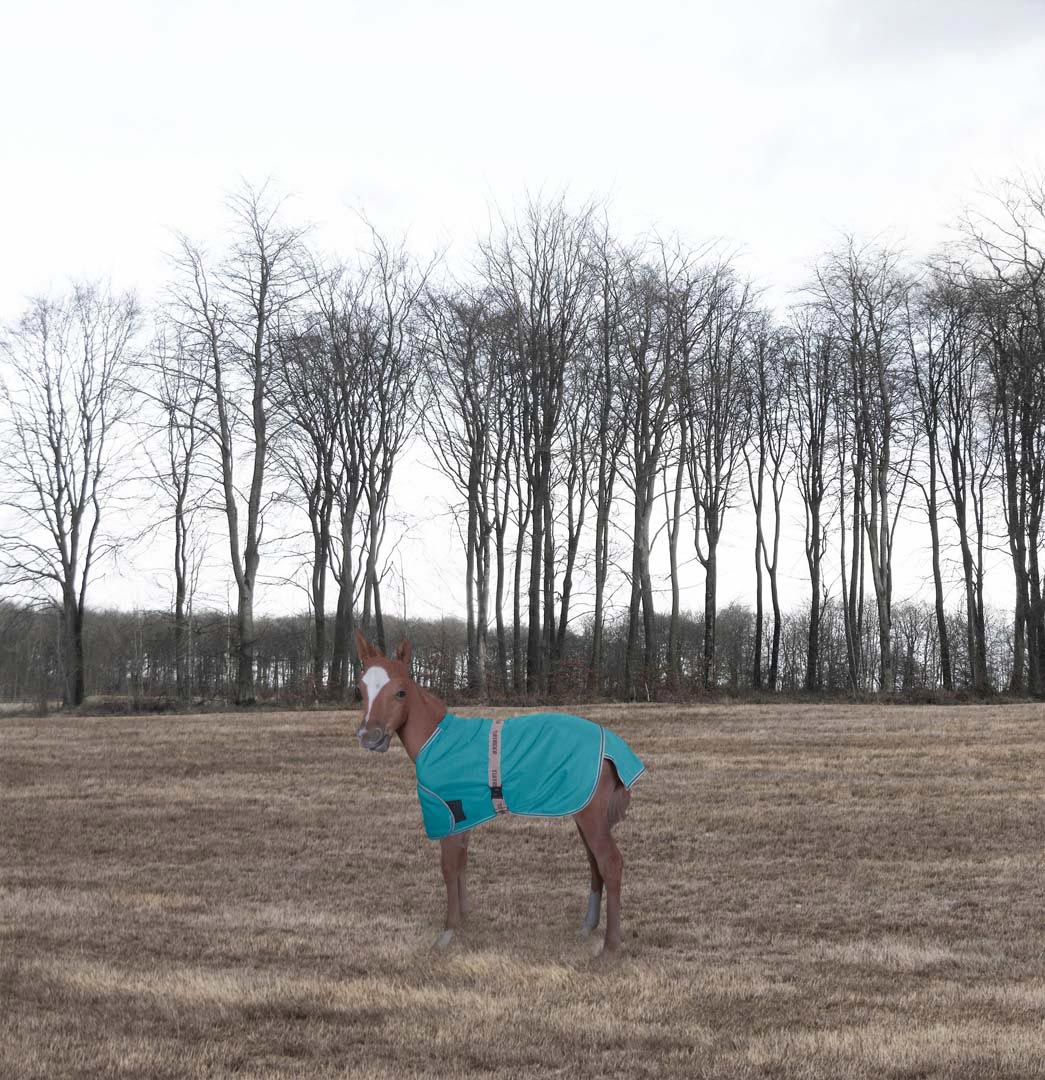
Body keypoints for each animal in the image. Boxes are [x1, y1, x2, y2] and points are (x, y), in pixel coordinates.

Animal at [353, 631, 645, 953]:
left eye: (401, 692)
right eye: (360, 688)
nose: (369, 737)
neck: (436, 740)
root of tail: (614, 747)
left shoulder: (448, 813)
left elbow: (448, 867)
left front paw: (448, 932)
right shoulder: (464, 814)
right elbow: (462, 862)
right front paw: (464, 918)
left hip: (591, 816)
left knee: (611, 864)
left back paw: (610, 946)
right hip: (583, 813)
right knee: (595, 864)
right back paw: (587, 927)